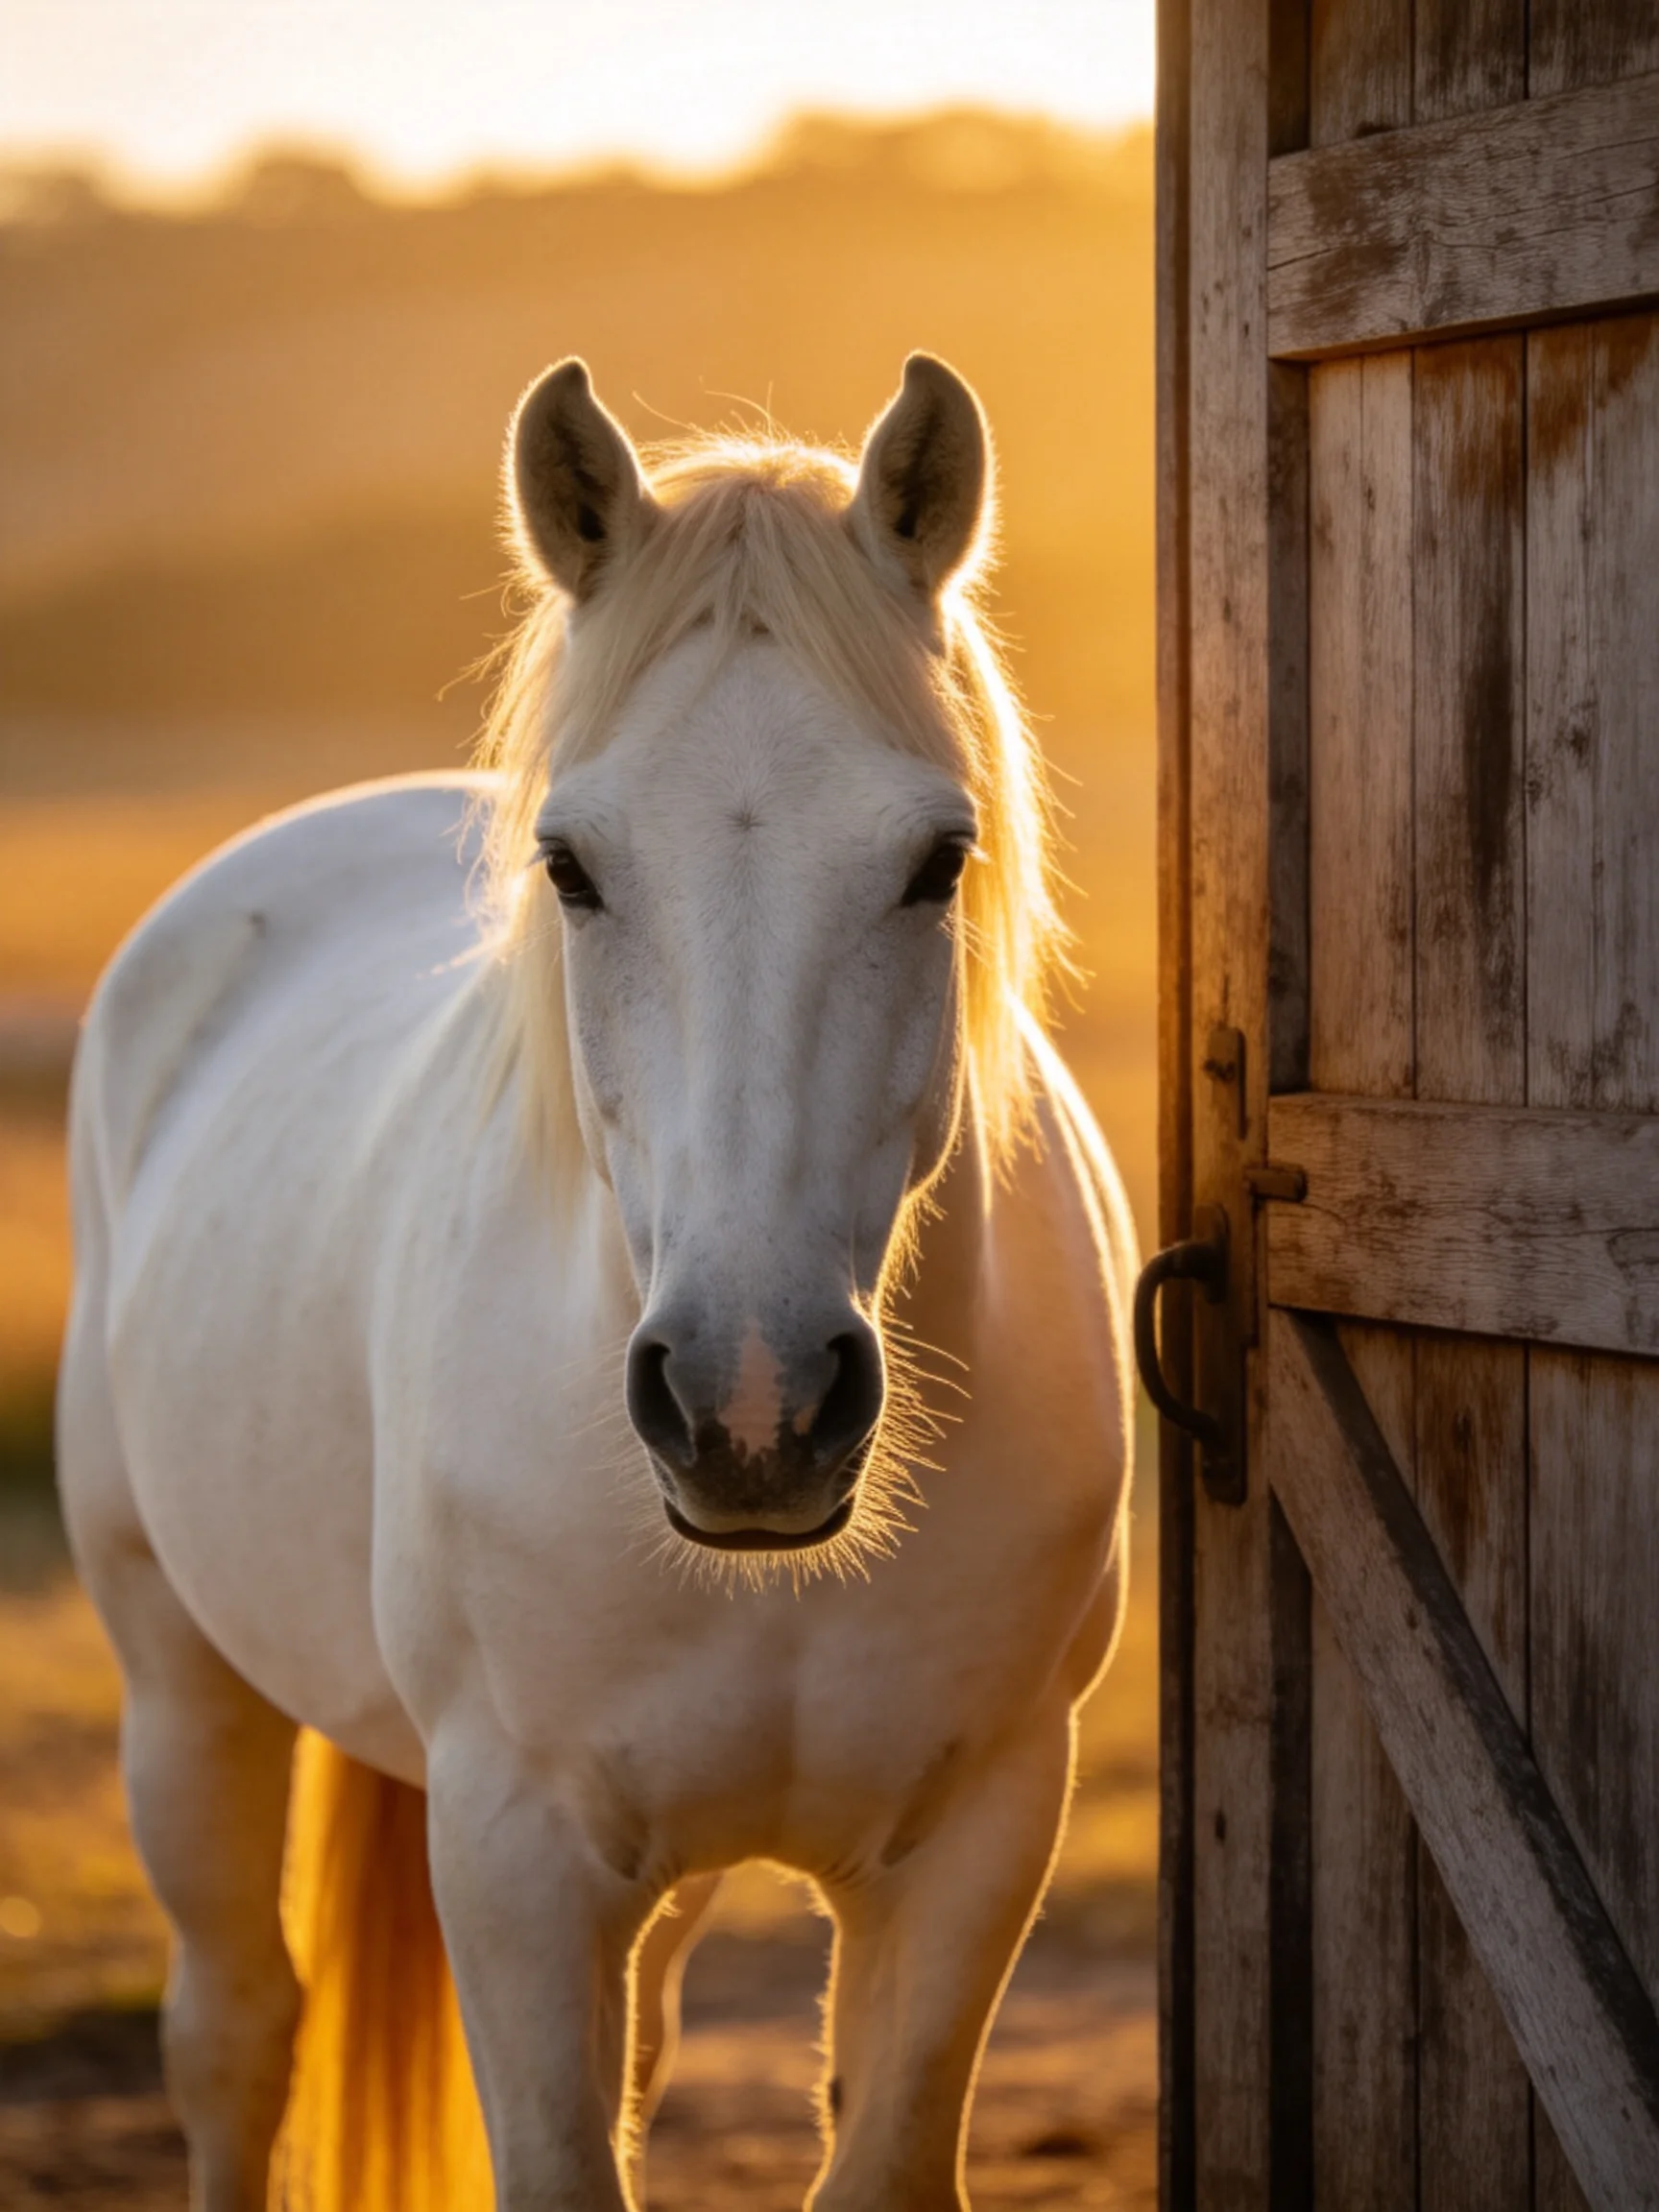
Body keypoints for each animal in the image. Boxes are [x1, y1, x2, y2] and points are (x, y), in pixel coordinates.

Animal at [56, 352, 1137, 2211]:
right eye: (572, 865)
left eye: (937, 858)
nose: (750, 1406)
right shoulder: (518, 1857)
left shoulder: (979, 1838)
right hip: (179, 1683)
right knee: (234, 2031)